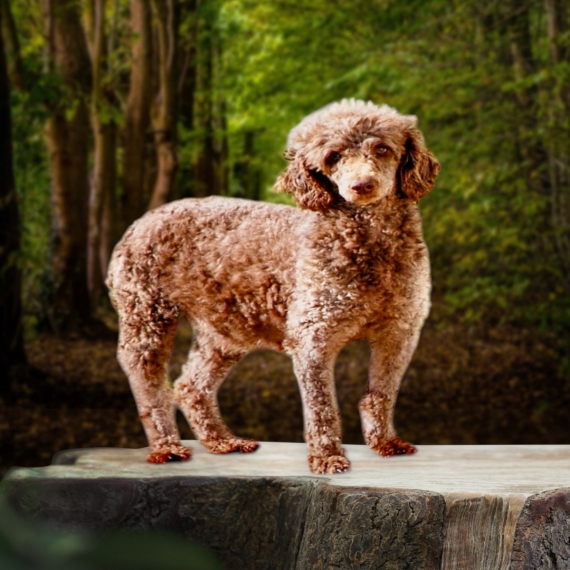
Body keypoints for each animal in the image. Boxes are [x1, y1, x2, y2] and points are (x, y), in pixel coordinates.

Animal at [106, 100, 440, 472]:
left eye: (382, 149)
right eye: (333, 157)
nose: (362, 185)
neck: (369, 244)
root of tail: (139, 222)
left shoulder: (398, 334)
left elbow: (381, 394)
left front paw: (385, 442)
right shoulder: (313, 339)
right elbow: (322, 408)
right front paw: (327, 457)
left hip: (224, 334)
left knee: (190, 386)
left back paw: (223, 441)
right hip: (148, 319)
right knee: (150, 386)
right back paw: (167, 447)